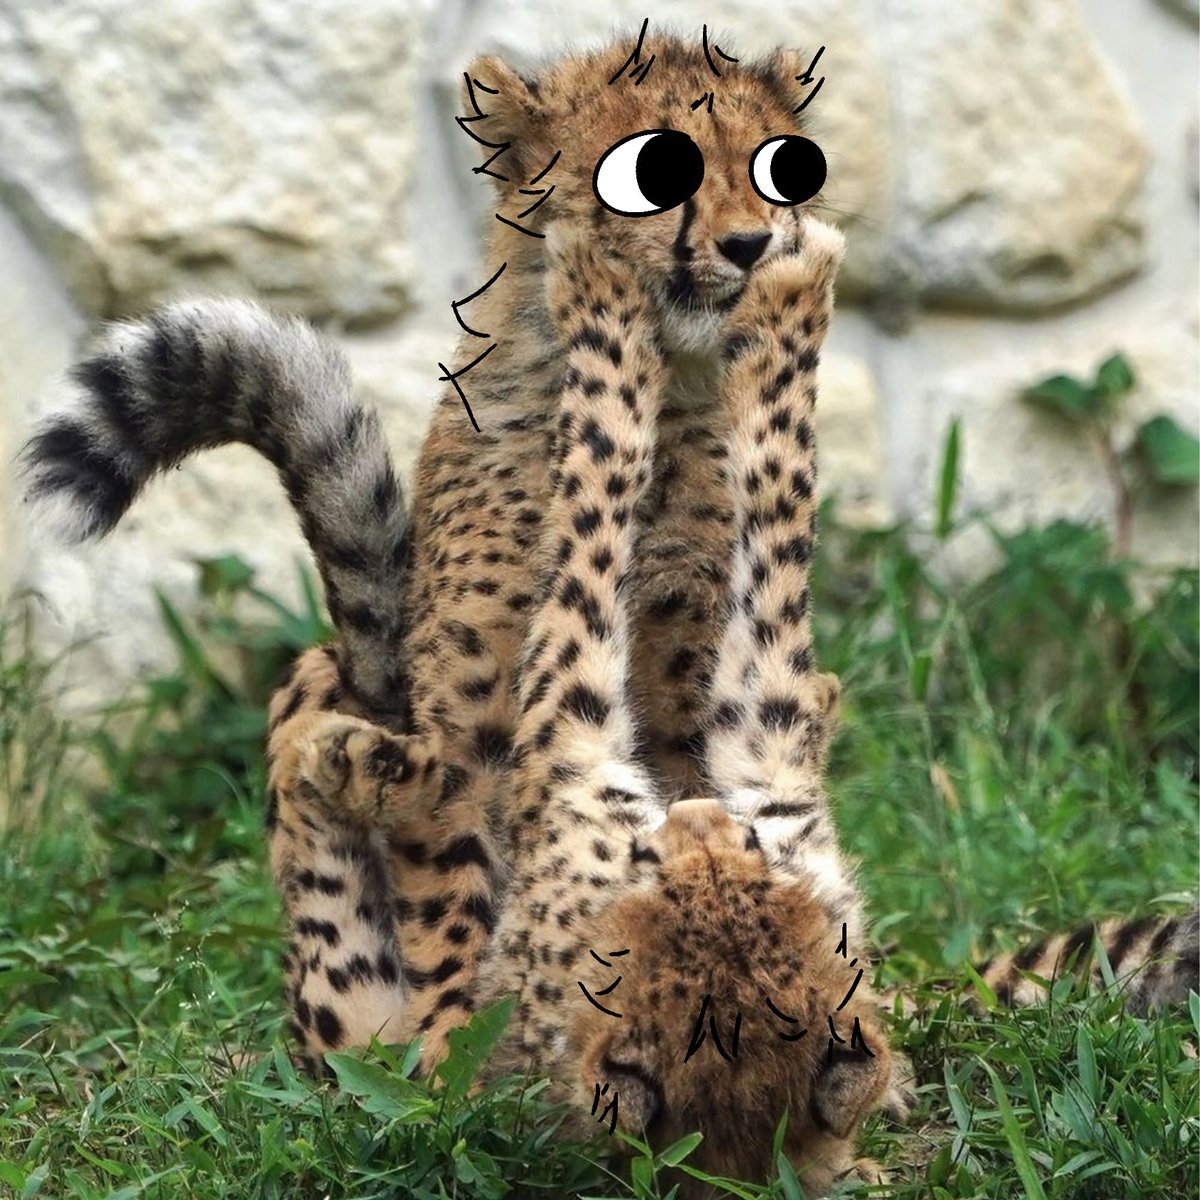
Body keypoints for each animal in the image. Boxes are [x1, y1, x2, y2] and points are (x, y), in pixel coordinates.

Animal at [21, 25, 1198, 1194]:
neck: (670, 400)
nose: (748, 245)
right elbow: (458, 883)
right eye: (654, 169)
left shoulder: (692, 708)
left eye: (777, 164)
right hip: (327, 683)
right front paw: (460, 1059)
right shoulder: (479, 710)